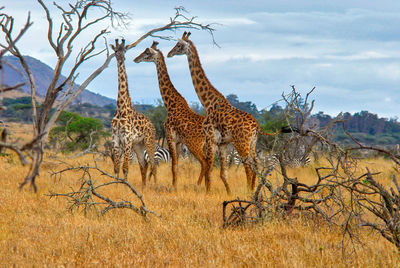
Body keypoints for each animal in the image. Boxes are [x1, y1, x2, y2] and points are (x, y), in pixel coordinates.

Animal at [111, 39, 159, 186]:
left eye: (125, 50)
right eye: (116, 50)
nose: (121, 57)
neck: (121, 108)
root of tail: (152, 125)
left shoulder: (127, 138)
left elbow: (125, 167)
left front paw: (125, 186)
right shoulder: (115, 138)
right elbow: (116, 167)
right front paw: (115, 186)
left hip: (149, 141)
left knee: (153, 165)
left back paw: (154, 186)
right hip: (138, 145)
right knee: (143, 165)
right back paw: (143, 187)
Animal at [134, 40, 209, 189]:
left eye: (147, 52)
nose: (136, 59)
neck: (171, 105)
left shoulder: (170, 136)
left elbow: (173, 165)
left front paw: (174, 187)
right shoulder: (179, 141)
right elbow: (177, 165)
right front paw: (176, 184)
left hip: (194, 144)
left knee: (204, 162)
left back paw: (198, 186)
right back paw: (206, 186)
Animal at [167, 31, 292, 191]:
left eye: (178, 45)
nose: (169, 53)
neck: (208, 103)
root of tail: (256, 126)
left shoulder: (211, 139)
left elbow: (209, 170)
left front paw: (208, 193)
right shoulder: (223, 143)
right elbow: (222, 173)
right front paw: (228, 193)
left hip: (241, 143)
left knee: (249, 167)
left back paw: (249, 191)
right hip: (252, 143)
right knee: (255, 165)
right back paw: (253, 190)